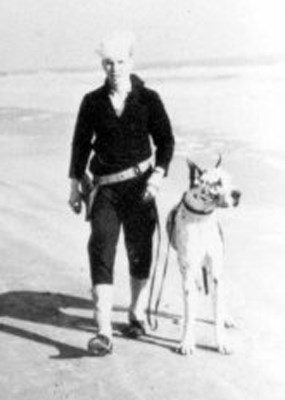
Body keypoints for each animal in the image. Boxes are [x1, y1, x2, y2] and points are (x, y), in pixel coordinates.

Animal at [166, 156, 240, 356]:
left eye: (230, 180)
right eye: (218, 183)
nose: (238, 193)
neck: (201, 219)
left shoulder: (215, 273)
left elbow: (216, 313)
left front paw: (222, 342)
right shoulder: (188, 269)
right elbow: (189, 311)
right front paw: (186, 342)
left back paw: (226, 316)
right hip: (186, 269)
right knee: (193, 294)